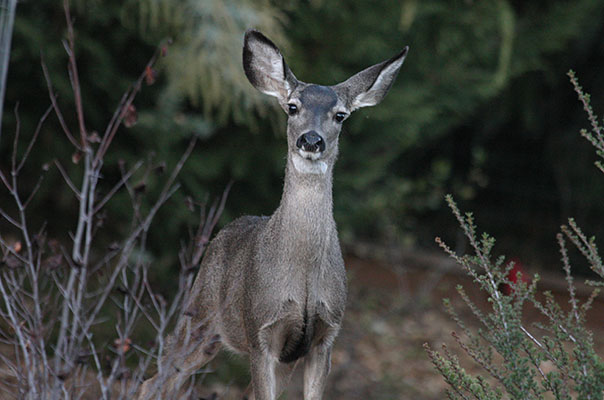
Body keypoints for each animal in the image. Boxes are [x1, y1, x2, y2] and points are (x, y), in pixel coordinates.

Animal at [136, 28, 408, 400]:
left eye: (340, 114)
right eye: (293, 107)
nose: (311, 140)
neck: (302, 274)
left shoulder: (324, 337)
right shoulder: (261, 332)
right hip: (199, 313)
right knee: (152, 381)